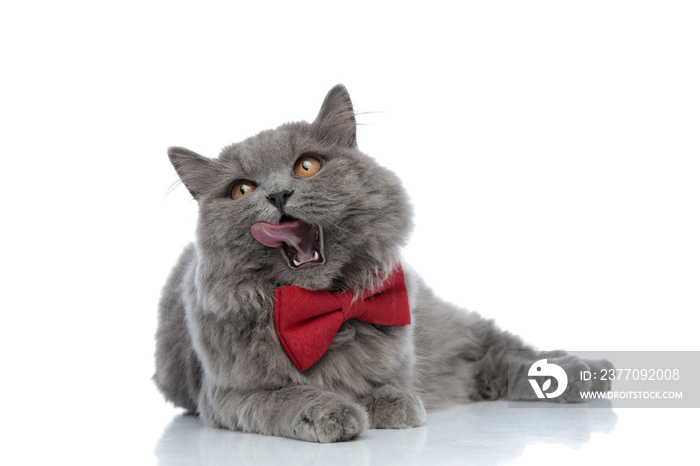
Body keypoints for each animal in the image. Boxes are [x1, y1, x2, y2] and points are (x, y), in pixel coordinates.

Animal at [154, 84, 612, 444]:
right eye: (241, 190)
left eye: (307, 165)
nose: (278, 194)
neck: (323, 312)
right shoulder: (228, 395)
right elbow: (285, 397)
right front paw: (333, 412)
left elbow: (388, 384)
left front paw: (391, 404)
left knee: (503, 351)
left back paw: (584, 372)